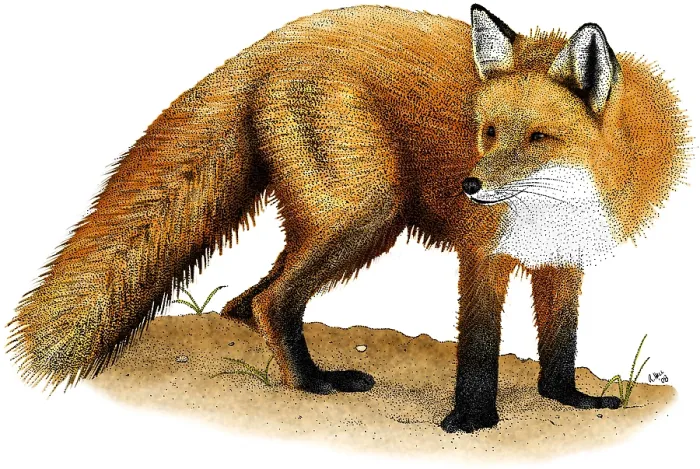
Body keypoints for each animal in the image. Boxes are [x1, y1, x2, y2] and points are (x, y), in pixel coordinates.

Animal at [8, 4, 688, 434]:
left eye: (539, 138)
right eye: (488, 132)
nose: (469, 185)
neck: (561, 200)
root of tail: (275, 41)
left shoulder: (562, 260)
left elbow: (561, 344)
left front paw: (568, 399)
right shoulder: (483, 254)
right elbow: (478, 348)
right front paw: (471, 421)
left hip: (350, 221)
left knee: (245, 301)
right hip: (365, 214)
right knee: (272, 299)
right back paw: (312, 384)